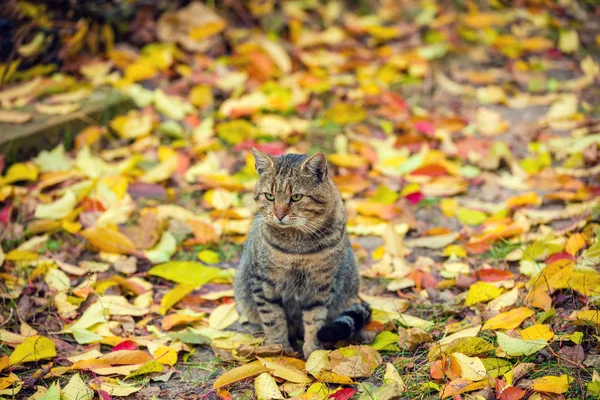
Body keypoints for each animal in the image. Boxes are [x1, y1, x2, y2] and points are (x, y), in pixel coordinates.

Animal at [233, 148, 370, 358]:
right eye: (270, 196)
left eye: (296, 197)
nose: (279, 214)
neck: (298, 246)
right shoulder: (263, 282)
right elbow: (273, 319)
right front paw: (278, 348)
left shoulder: (321, 285)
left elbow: (315, 320)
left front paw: (314, 353)